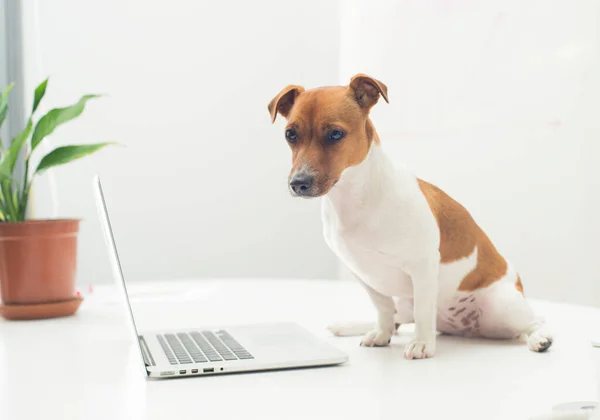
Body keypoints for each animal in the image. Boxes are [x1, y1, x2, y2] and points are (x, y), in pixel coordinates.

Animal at [268, 74, 552, 358]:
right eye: (290, 134)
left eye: (335, 134)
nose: (298, 183)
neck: (355, 198)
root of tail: (463, 328)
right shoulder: (364, 275)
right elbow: (382, 308)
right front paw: (380, 334)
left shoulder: (423, 267)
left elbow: (423, 311)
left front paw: (423, 343)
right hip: (406, 302)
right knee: (396, 318)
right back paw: (355, 326)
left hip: (502, 306)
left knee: (534, 322)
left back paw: (540, 338)